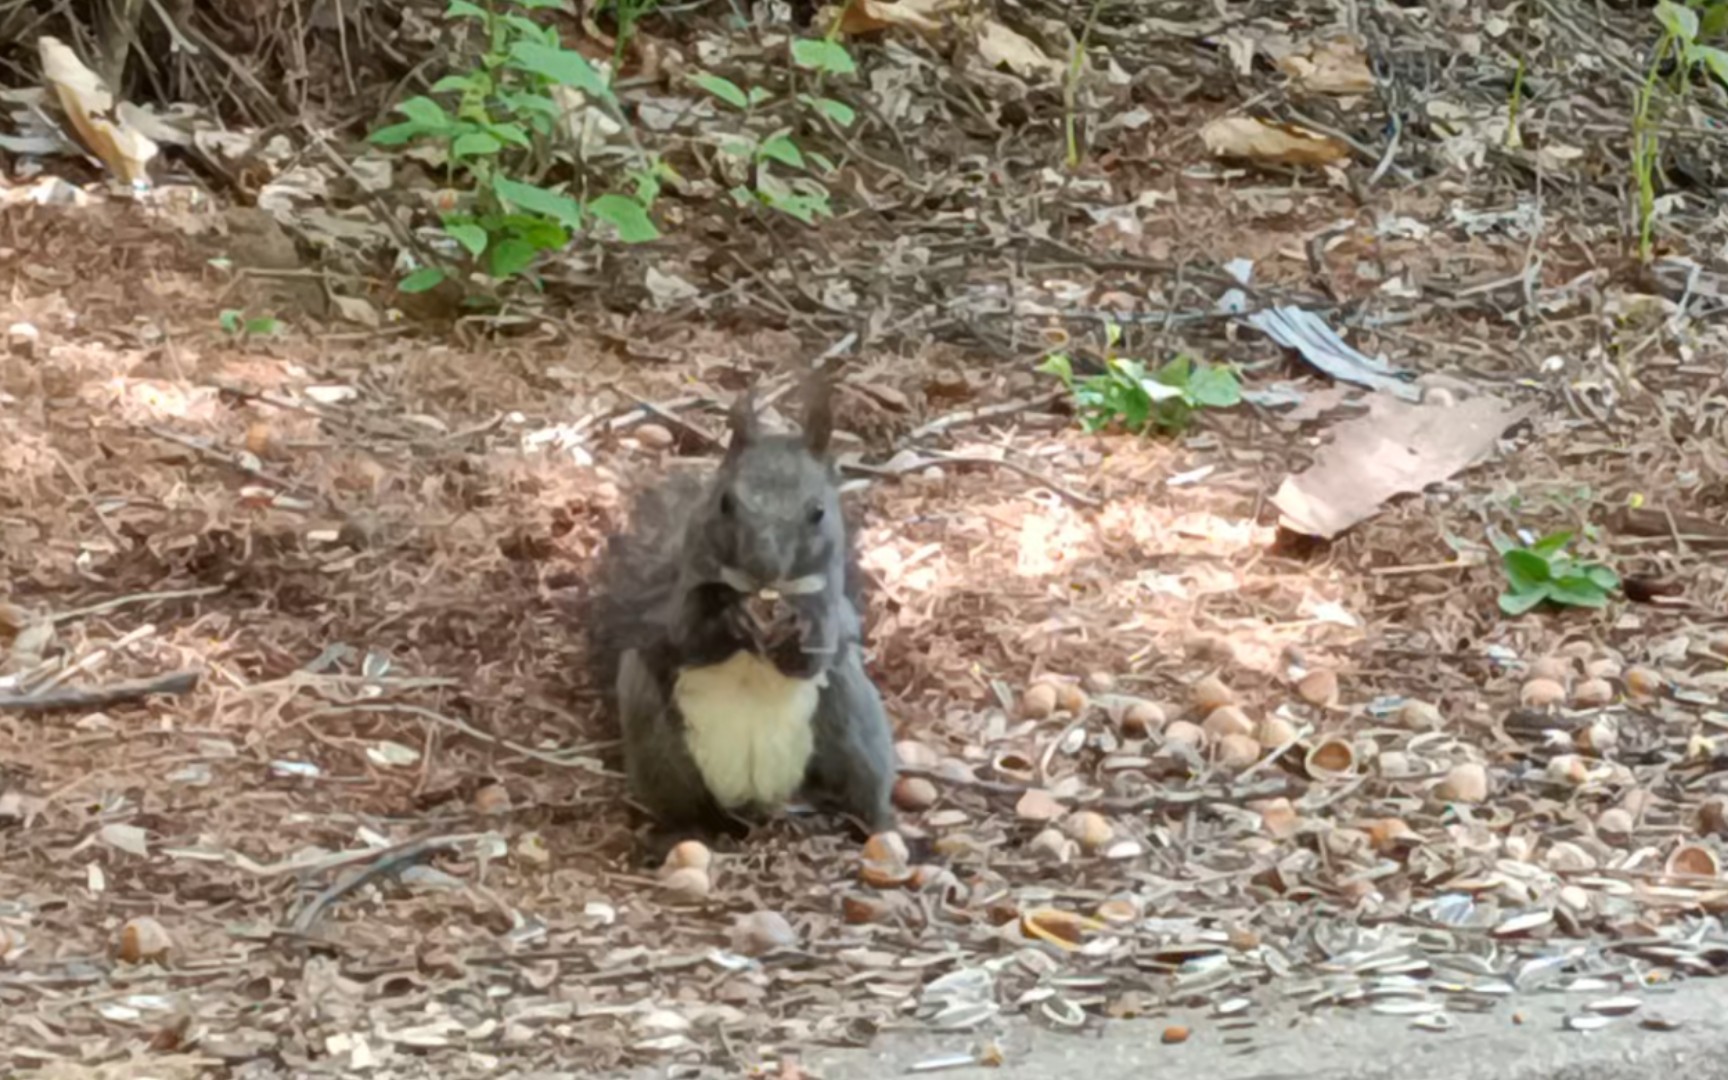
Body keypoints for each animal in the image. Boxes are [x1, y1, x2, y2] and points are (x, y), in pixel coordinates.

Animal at [587, 374, 898, 846]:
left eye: (818, 512)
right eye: (724, 502)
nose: (763, 565)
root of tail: (756, 799)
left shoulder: (832, 605)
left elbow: (818, 650)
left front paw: (797, 630)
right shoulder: (676, 601)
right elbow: (688, 636)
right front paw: (729, 620)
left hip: (855, 722)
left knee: (864, 786)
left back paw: (884, 828)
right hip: (658, 746)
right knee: (680, 806)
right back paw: (680, 834)